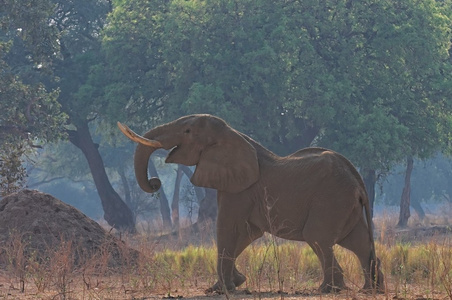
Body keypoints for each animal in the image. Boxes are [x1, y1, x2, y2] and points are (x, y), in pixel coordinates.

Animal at [117, 114, 384, 292]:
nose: (155, 183)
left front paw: (222, 290)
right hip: (345, 203)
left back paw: (329, 290)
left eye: (188, 131)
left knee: (317, 237)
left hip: (331, 199)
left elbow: (227, 228)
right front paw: (235, 283)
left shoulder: (240, 190)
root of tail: (357, 179)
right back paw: (370, 289)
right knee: (357, 242)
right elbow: (247, 233)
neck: (231, 134)